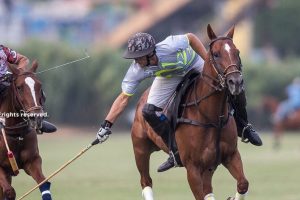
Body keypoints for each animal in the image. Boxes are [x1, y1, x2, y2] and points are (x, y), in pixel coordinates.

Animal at [0, 61, 51, 199]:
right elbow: (9, 192)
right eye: (19, 87)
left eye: (39, 85)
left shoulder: (32, 161)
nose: (36, 117)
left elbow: (44, 183)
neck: (15, 133)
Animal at [131, 25, 248, 200]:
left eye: (237, 52)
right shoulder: (192, 168)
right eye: (216, 54)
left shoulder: (231, 155)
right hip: (140, 150)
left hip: (209, 168)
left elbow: (242, 183)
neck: (212, 117)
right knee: (146, 182)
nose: (236, 82)